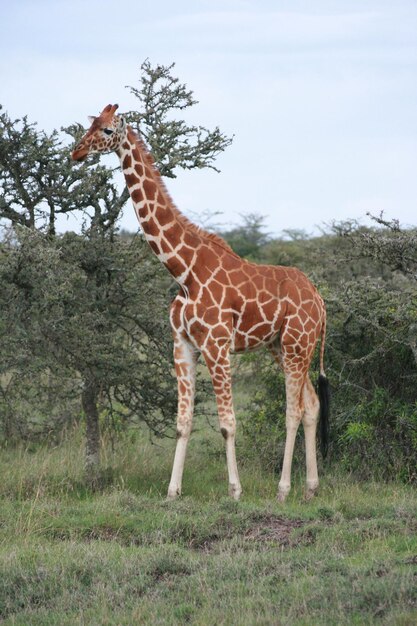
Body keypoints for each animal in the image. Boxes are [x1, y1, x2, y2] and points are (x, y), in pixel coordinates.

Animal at [73, 105, 330, 500]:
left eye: (106, 130)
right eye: (89, 125)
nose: (77, 152)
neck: (184, 271)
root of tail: (319, 299)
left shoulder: (216, 344)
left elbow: (227, 423)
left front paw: (235, 490)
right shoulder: (182, 344)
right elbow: (183, 422)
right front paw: (172, 491)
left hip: (296, 344)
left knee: (294, 410)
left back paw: (284, 489)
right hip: (283, 344)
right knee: (313, 405)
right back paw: (311, 488)